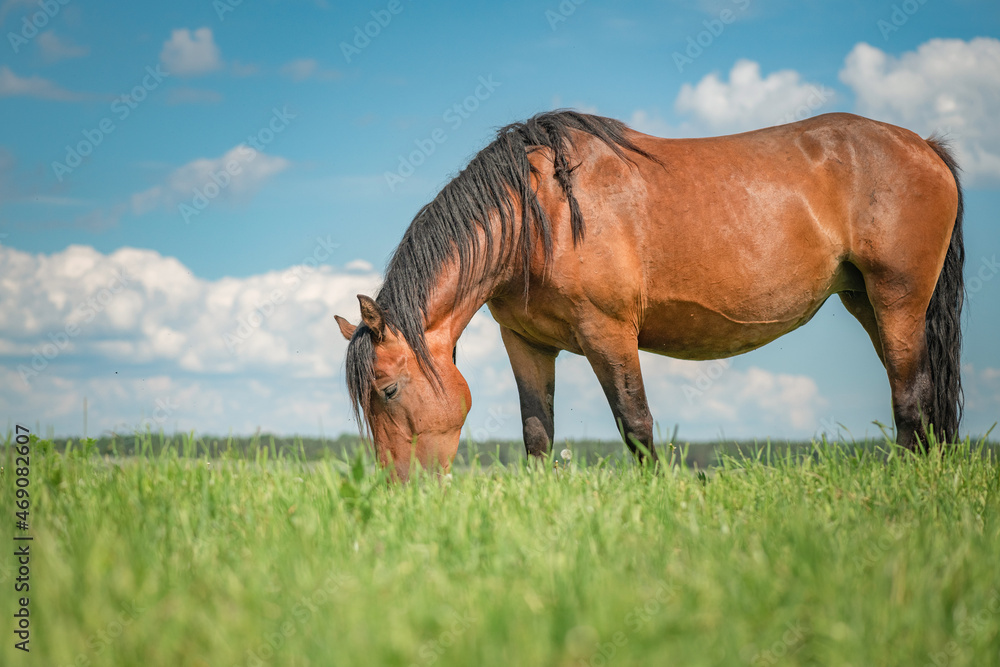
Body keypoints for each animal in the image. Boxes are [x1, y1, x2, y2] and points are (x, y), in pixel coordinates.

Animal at [335, 110, 964, 480]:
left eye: (388, 390)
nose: (400, 493)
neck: (539, 216)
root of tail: (924, 146)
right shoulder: (525, 343)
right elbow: (537, 433)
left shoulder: (608, 332)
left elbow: (635, 423)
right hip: (868, 303)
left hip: (898, 299)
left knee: (910, 396)